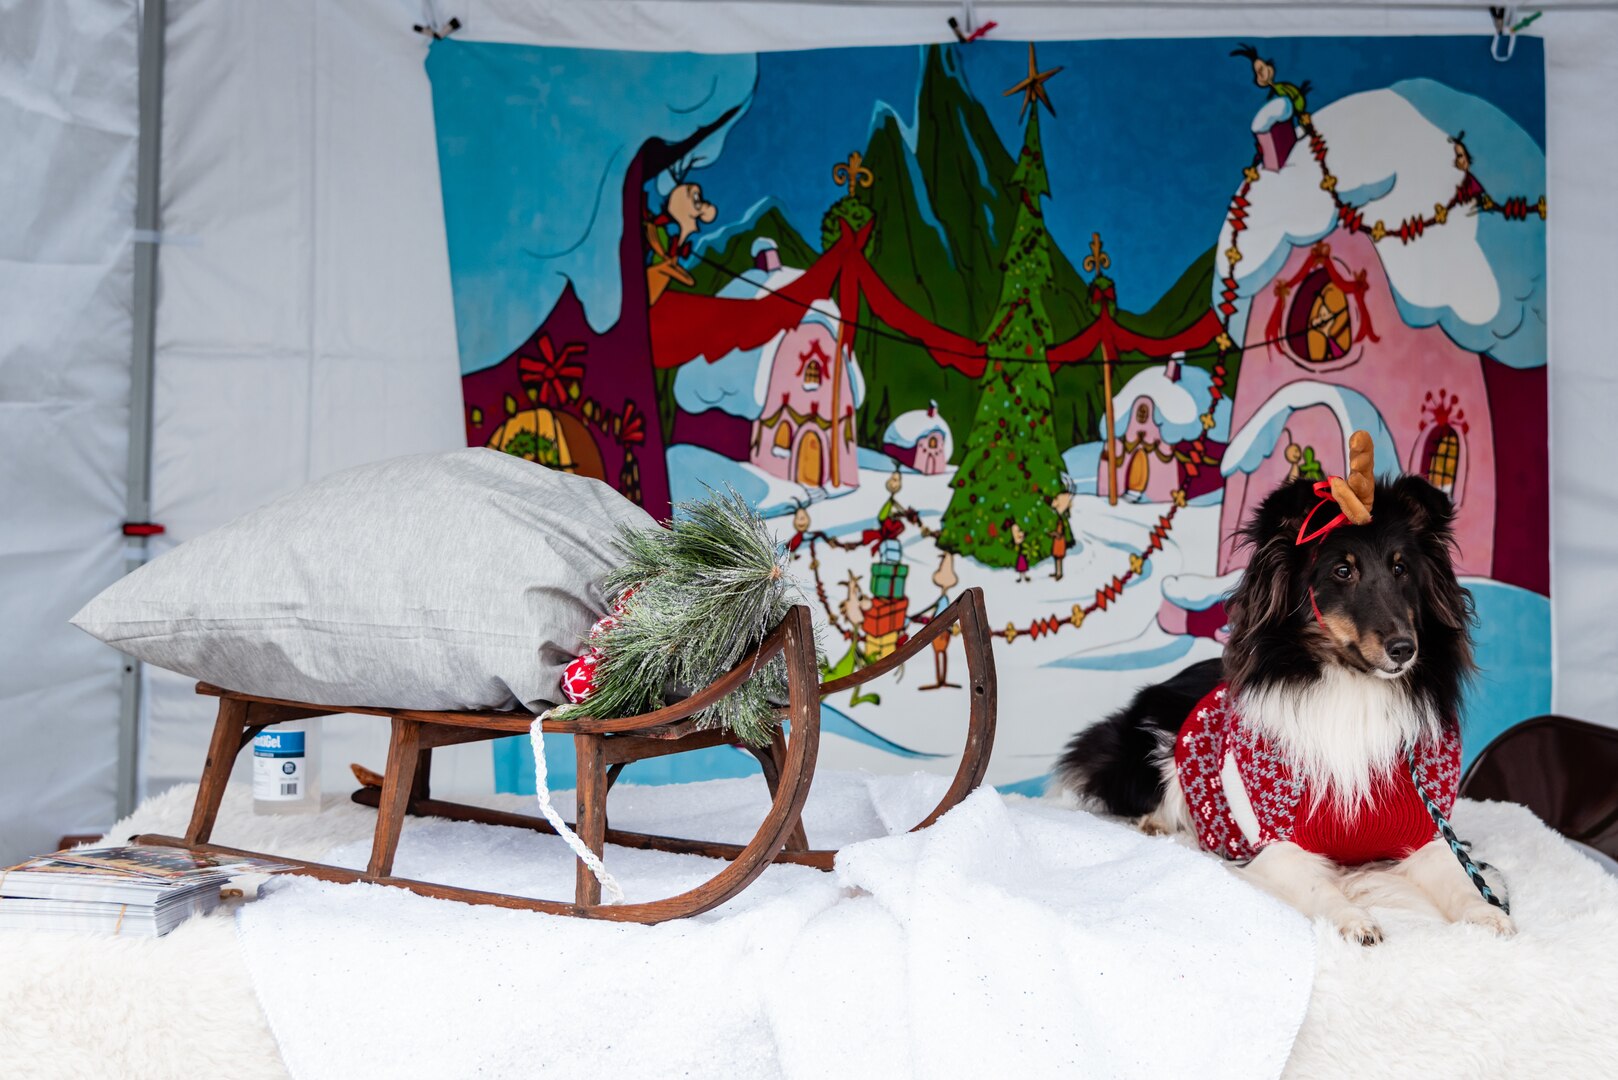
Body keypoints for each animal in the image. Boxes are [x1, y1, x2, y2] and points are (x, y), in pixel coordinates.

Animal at [1054, 469, 1507, 939]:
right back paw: (1154, 823)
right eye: (1342, 570)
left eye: (1401, 568)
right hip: (1151, 745)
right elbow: (1319, 886)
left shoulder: (1425, 829)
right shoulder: (1274, 840)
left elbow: (1460, 878)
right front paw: (1355, 921)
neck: (1352, 685)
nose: (1404, 649)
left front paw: (1487, 913)